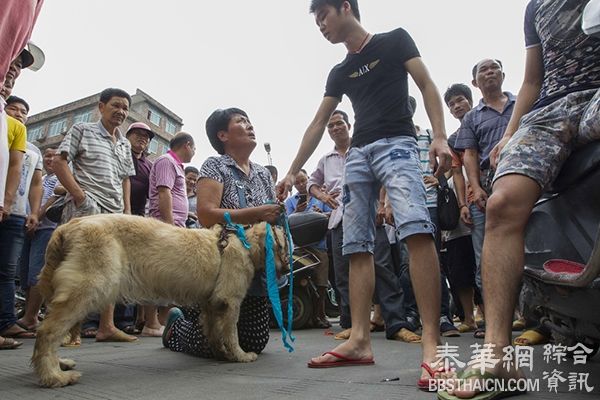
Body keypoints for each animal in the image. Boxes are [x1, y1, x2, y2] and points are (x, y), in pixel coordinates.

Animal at [31, 216, 290, 388]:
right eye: (286, 246)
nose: (288, 269)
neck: (244, 243)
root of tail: (65, 228)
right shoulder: (230, 301)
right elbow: (231, 333)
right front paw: (240, 355)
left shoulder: (211, 304)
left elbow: (214, 333)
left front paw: (221, 354)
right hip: (89, 287)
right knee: (47, 331)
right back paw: (53, 376)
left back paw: (60, 364)